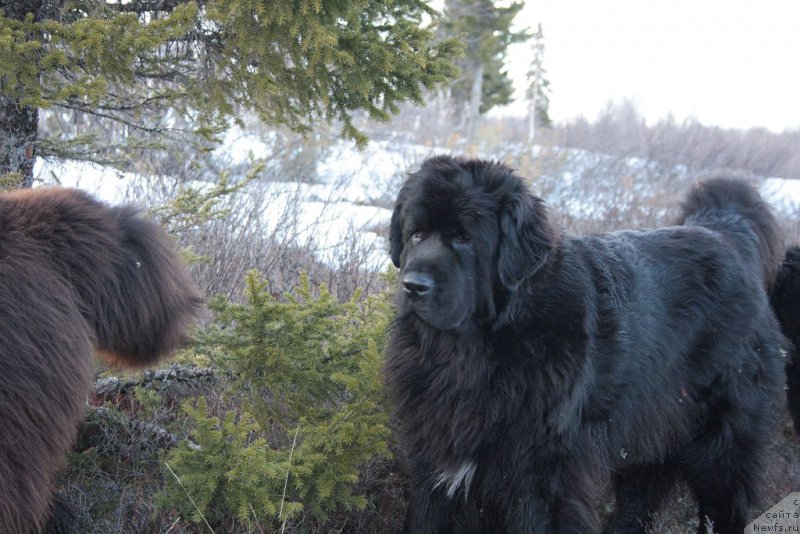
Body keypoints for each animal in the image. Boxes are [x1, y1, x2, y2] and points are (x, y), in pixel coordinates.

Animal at [386, 156, 792, 534]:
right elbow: (425, 517)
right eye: (416, 234)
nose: (414, 285)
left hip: (721, 443)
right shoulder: (437, 458)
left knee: (725, 501)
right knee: (639, 499)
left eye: (463, 238)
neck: (475, 354)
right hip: (650, 430)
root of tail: (723, 232)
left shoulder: (540, 474)